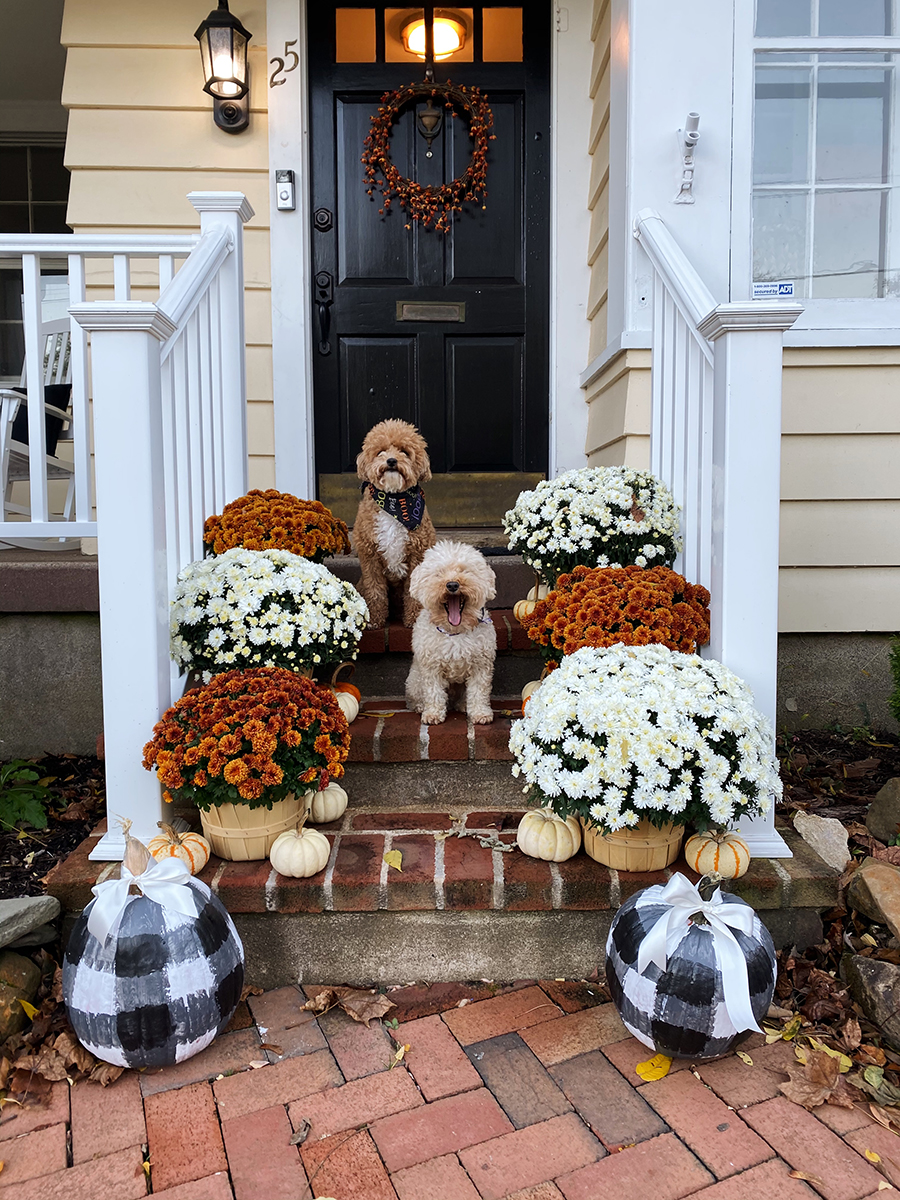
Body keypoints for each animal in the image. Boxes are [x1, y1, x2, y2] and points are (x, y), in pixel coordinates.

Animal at [352, 420, 436, 628]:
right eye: (380, 451)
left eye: (404, 451)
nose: (391, 461)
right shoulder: (370, 556)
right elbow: (375, 591)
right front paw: (374, 619)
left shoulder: (417, 555)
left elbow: (413, 593)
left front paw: (414, 619)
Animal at [405, 542, 496, 720]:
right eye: (439, 573)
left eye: (465, 570)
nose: (452, 585)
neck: (455, 631)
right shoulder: (431, 667)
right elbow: (433, 692)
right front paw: (433, 714)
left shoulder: (481, 665)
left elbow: (479, 691)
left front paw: (480, 713)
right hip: (414, 681)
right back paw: (420, 706)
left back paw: (463, 706)